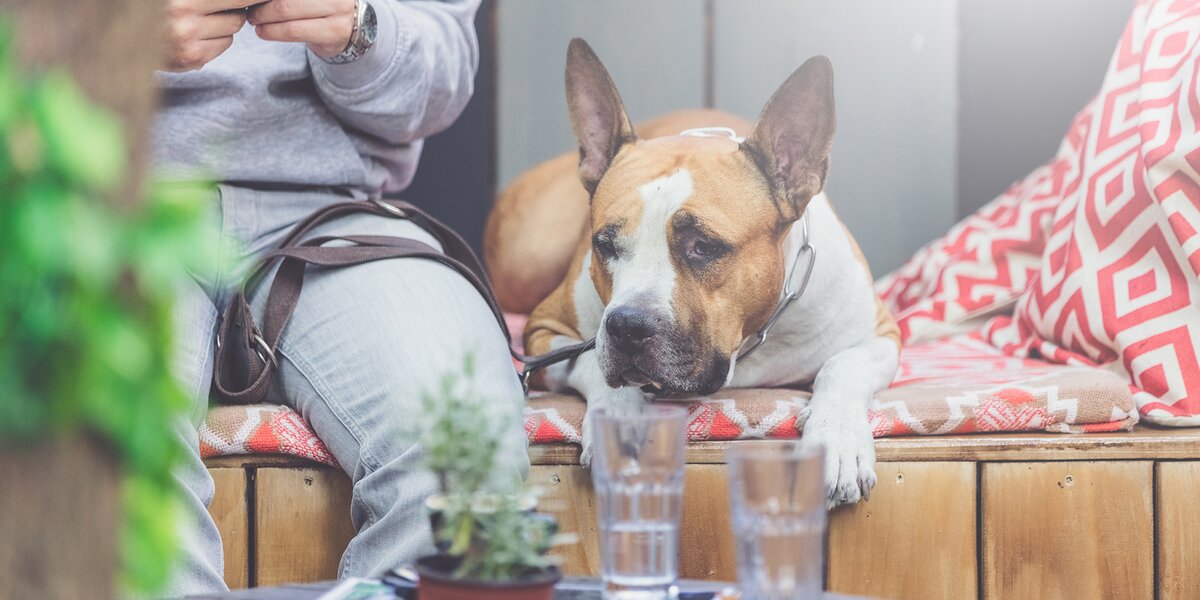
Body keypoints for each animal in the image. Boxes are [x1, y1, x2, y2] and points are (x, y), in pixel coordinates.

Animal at [482, 38, 897, 506]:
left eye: (704, 247)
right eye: (604, 245)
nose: (627, 326)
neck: (746, 346)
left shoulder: (879, 334)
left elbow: (843, 365)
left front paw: (835, 438)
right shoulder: (543, 330)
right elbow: (590, 358)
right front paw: (620, 415)